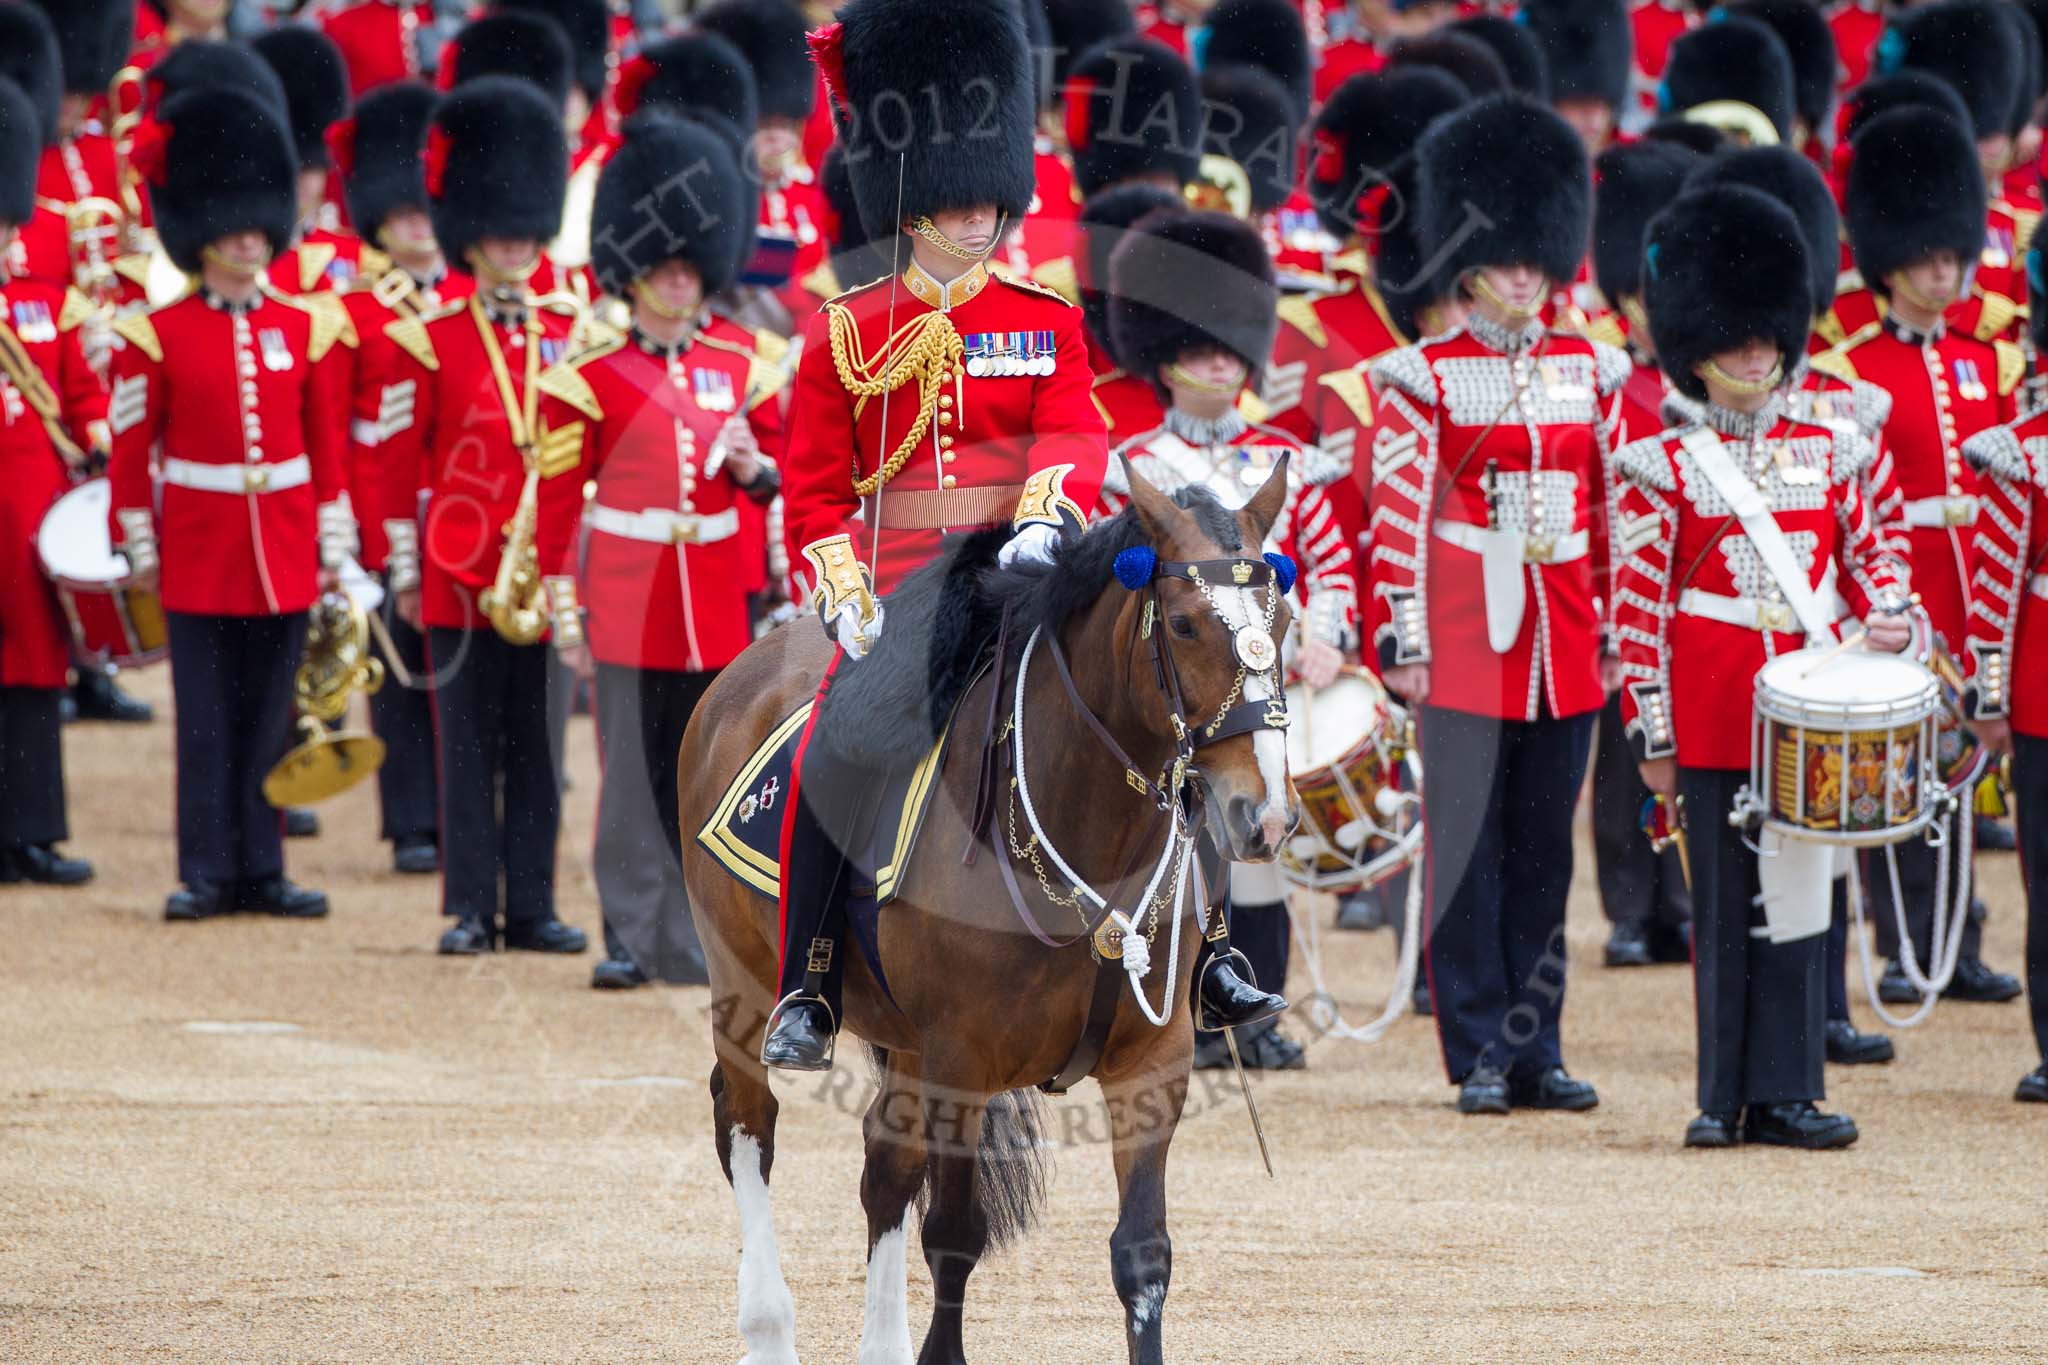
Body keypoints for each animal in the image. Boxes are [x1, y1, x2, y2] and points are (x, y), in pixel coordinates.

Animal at [678, 461, 1302, 1365]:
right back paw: (767, 1328)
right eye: (1184, 624)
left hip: (903, 1041)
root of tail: (743, 675)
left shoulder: (1155, 1060)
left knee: (885, 1160)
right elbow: (953, 1236)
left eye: (1282, 621)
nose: (1266, 815)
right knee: (747, 1124)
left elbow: (1142, 1253)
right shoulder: (961, 1060)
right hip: (747, 987)